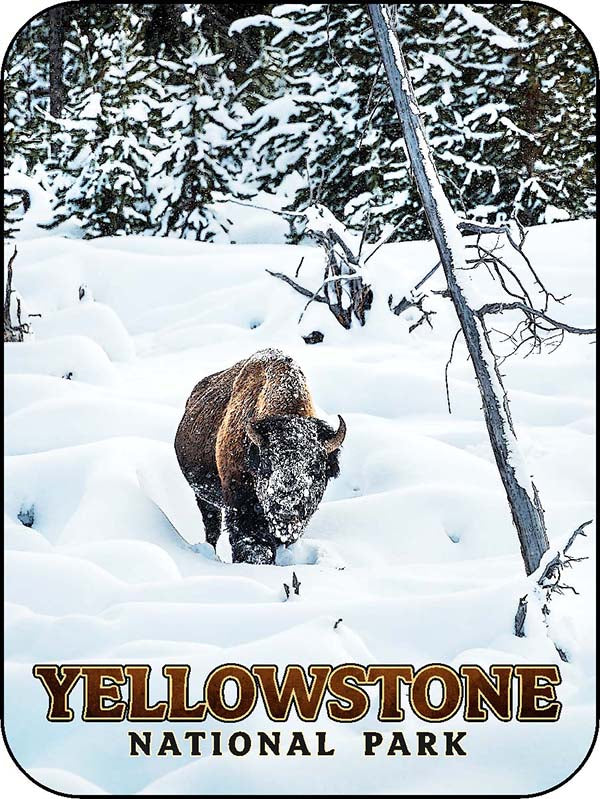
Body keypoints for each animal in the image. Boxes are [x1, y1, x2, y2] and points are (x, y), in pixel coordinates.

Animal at [173, 348, 344, 564]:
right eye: (268, 464)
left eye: (315, 467)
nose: (287, 507)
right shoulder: (241, 504)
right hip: (203, 497)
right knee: (212, 527)